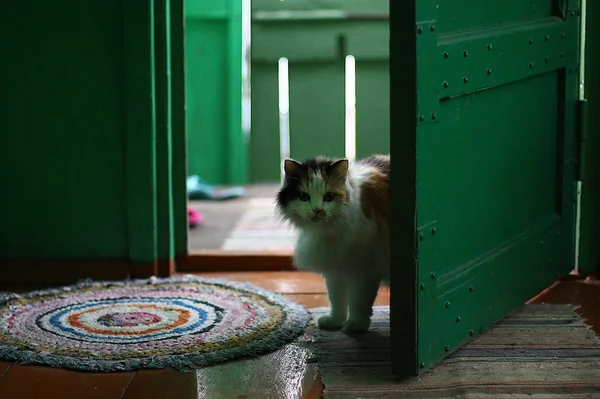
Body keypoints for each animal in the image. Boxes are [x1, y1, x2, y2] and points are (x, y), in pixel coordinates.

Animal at [276, 155, 392, 336]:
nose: (317, 210)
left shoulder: (364, 269)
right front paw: (335, 321)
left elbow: (359, 301)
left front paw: (356, 325)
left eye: (329, 196)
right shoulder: (334, 266)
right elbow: (336, 298)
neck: (329, 232)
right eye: (304, 196)